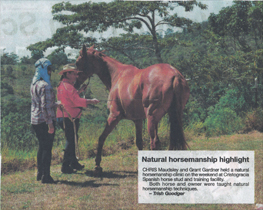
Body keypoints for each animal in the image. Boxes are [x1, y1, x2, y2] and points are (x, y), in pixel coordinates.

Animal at [76, 44, 190, 174]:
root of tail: (174, 75)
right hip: (174, 116)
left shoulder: (114, 116)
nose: (76, 83)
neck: (117, 74)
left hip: (151, 117)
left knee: (154, 142)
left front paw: (97, 164)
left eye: (77, 62)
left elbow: (101, 138)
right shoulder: (138, 120)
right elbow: (139, 142)